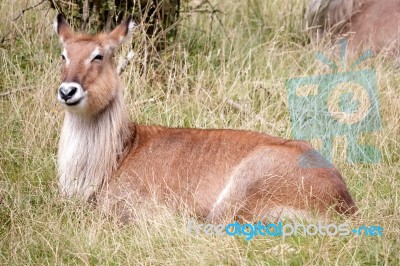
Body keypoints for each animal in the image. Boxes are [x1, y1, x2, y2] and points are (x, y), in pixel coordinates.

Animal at [53, 14, 356, 222]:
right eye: (64, 55)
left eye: (98, 56)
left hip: (242, 187)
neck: (118, 154)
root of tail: (345, 204)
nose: (67, 91)